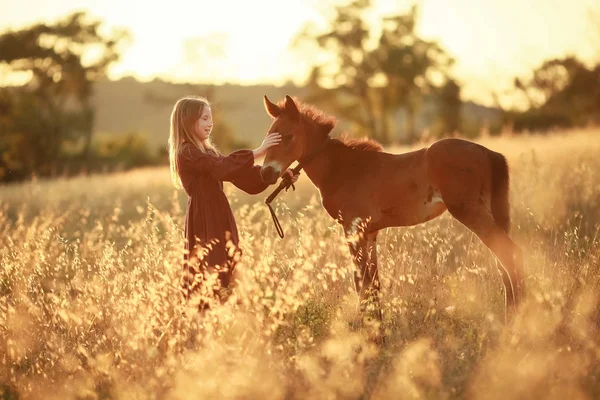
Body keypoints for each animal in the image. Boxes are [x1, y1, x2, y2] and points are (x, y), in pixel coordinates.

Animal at [258, 94, 524, 322]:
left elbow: (361, 282)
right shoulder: (371, 232)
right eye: (269, 135)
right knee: (504, 262)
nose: (266, 173)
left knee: (509, 255)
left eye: (289, 136)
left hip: (470, 212)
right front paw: (378, 331)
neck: (342, 168)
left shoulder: (353, 229)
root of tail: (487, 152)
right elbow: (374, 283)